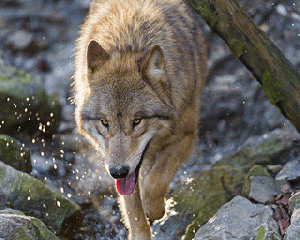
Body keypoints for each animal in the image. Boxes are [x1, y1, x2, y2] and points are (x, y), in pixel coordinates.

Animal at [74, 0, 207, 237]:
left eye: (137, 121)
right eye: (105, 122)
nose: (118, 172)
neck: (128, 42)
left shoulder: (187, 137)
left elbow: (155, 183)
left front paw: (156, 209)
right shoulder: (117, 165)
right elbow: (133, 207)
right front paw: (141, 230)